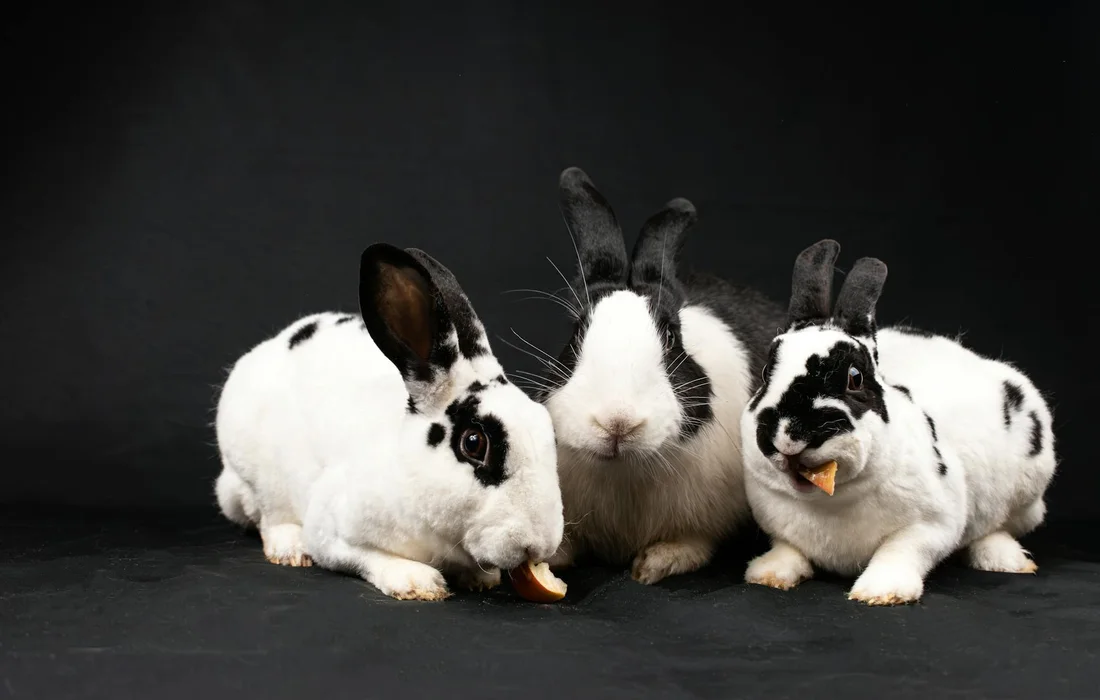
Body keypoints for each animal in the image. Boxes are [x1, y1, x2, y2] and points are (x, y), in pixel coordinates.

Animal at [214, 243, 565, 601]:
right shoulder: (331, 531)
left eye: (548, 429)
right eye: (473, 443)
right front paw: (418, 582)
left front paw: (481, 578)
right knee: (271, 517)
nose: (539, 545)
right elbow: (368, 556)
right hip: (259, 479)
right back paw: (291, 550)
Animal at [537, 167, 787, 584]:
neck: (624, 471)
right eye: (576, 332)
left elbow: (693, 543)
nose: (617, 423)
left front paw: (656, 564)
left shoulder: (705, 521)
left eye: (671, 337)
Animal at [740, 239, 1058, 605]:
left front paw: (881, 592)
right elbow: (788, 549)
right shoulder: (778, 526)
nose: (788, 436)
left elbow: (901, 551)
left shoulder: (932, 525)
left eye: (855, 378)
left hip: (1027, 489)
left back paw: (1008, 560)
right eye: (767, 373)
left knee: (996, 528)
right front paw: (768, 574)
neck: (830, 501)